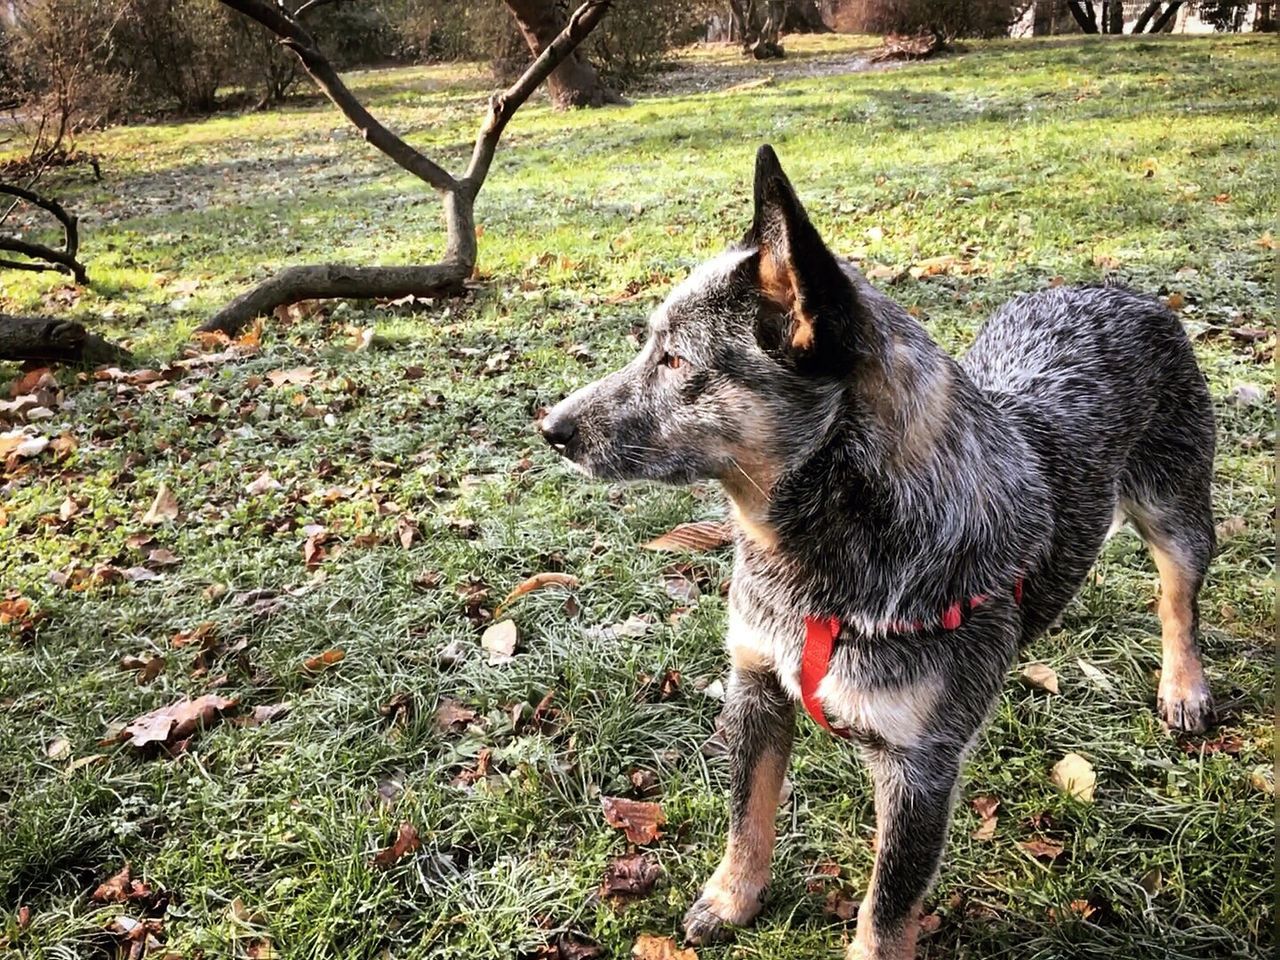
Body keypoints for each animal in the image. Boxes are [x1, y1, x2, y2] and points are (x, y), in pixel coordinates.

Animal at [535, 146, 1213, 957]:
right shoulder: (755, 688)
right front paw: (732, 899)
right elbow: (747, 818)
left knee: (1177, 599)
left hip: (1175, 510)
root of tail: (1126, 291)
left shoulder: (919, 770)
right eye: (650, 347)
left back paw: (1184, 686)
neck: (816, 559)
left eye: (674, 361)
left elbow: (886, 909)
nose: (550, 427)